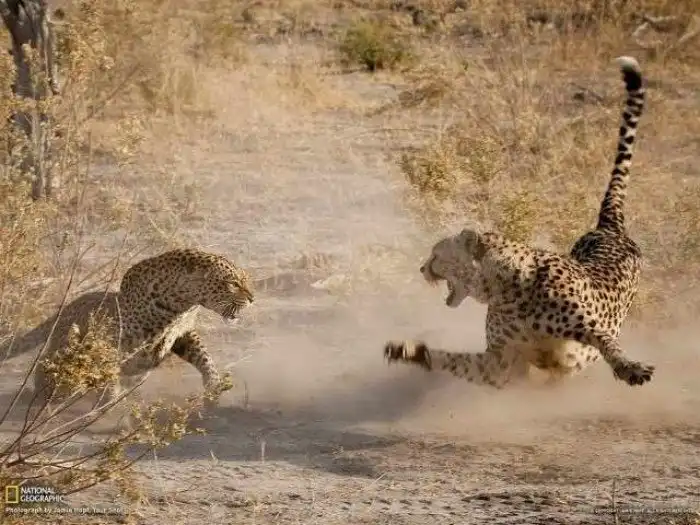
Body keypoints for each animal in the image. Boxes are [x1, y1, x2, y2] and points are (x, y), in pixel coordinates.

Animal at [7, 248, 254, 409]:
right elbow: (109, 371)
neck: (180, 304)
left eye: (243, 280)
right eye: (233, 283)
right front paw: (110, 402)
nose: (252, 298)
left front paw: (213, 387)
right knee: (48, 367)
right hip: (65, 347)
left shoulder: (183, 333)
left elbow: (204, 358)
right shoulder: (110, 337)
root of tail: (67, 306)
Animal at [384, 56, 655, 389]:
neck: (506, 289)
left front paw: (630, 367)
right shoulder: (501, 364)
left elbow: (606, 342)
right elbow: (454, 360)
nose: (422, 269)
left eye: (437, 255)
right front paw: (409, 352)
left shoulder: (587, 328)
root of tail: (608, 227)